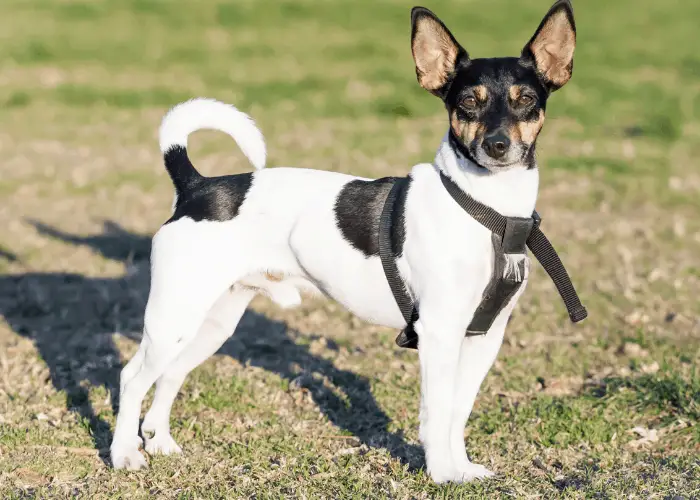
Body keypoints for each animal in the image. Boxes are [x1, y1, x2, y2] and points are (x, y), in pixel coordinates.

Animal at [112, 0, 576, 484]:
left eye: (527, 100)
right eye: (469, 101)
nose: (498, 145)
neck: (488, 209)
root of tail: (196, 186)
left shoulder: (484, 336)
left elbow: (457, 413)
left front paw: (462, 469)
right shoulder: (439, 333)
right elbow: (436, 414)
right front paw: (441, 474)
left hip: (210, 323)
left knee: (169, 375)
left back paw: (159, 441)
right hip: (173, 317)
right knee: (132, 377)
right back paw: (124, 454)